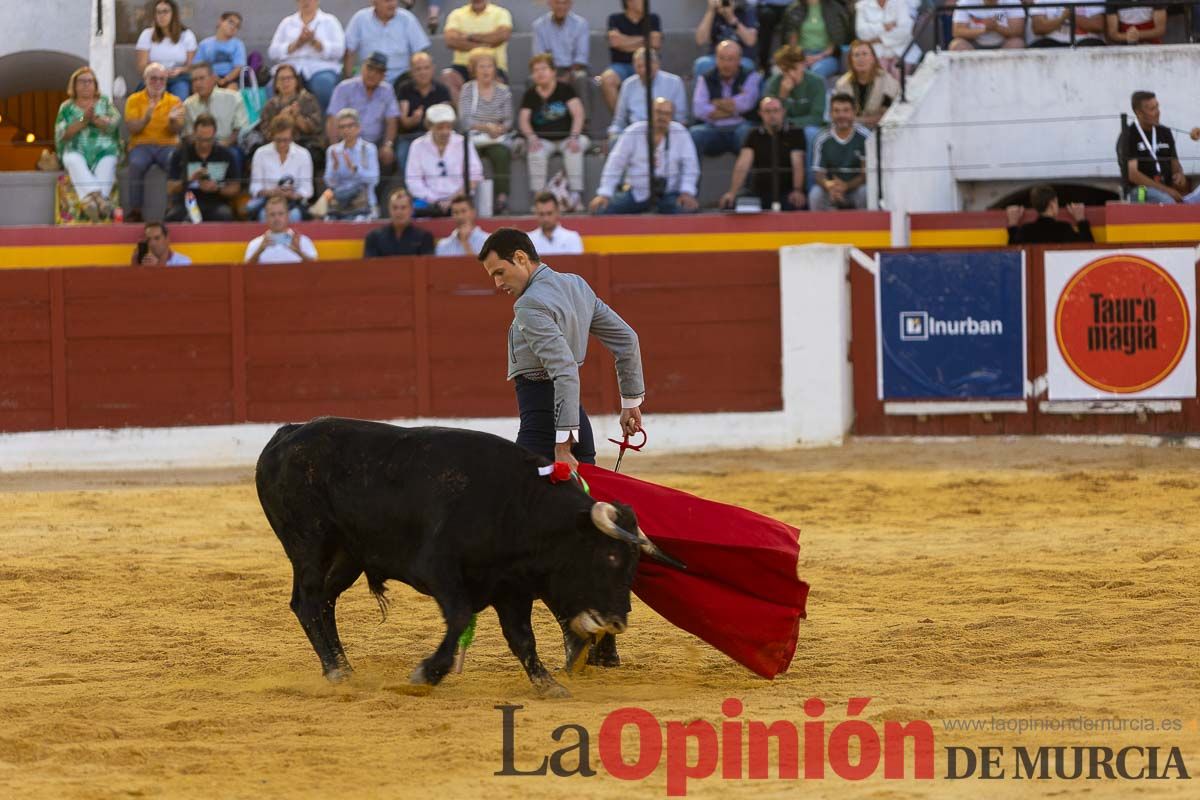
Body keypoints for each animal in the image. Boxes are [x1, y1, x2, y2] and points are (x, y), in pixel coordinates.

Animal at [255, 417, 686, 695]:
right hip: (309, 544)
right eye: (608, 558)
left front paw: (547, 684)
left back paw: (344, 667)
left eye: (633, 565)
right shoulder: (439, 572)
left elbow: (522, 637)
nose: (617, 621)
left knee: (325, 602)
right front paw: (426, 674)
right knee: (308, 601)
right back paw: (335, 671)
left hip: (349, 555)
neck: (517, 507)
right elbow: (461, 616)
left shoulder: (511, 589)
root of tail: (285, 435)